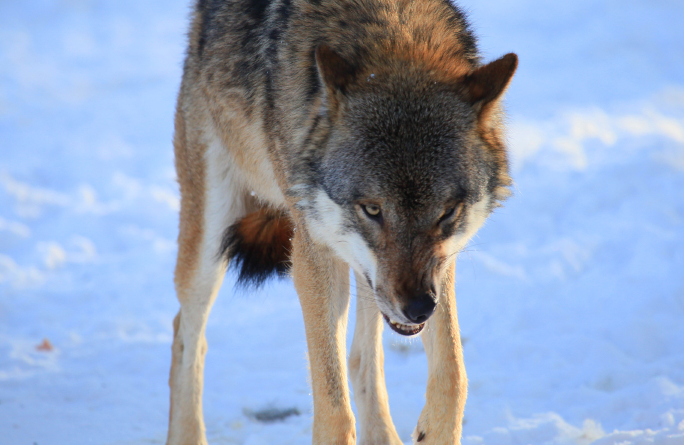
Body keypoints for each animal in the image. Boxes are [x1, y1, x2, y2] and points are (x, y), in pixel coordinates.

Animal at [168, 0, 516, 442]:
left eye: (446, 212)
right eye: (372, 209)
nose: (419, 308)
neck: (394, 34)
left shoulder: (440, 265)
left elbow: (453, 375)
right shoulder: (313, 254)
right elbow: (334, 408)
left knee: (361, 358)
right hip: (211, 242)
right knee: (186, 334)